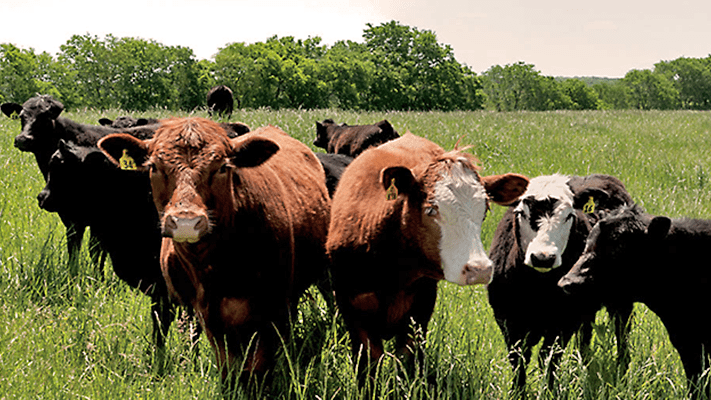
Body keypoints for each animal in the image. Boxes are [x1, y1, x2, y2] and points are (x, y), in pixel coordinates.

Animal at [98, 119, 332, 394]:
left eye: (222, 167)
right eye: (154, 166)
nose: (186, 222)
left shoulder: (270, 308)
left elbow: (258, 366)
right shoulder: (207, 314)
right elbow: (228, 365)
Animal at [326, 134, 532, 384]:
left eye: (484, 210)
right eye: (431, 210)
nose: (480, 269)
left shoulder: (420, 310)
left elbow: (407, 360)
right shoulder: (352, 311)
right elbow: (369, 362)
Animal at [490, 175, 636, 394]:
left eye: (569, 216)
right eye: (521, 213)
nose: (543, 258)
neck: (536, 289)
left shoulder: (565, 321)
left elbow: (549, 358)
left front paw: (549, 391)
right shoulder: (508, 321)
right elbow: (519, 359)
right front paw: (518, 392)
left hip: (622, 302)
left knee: (622, 336)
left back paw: (622, 375)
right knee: (585, 338)